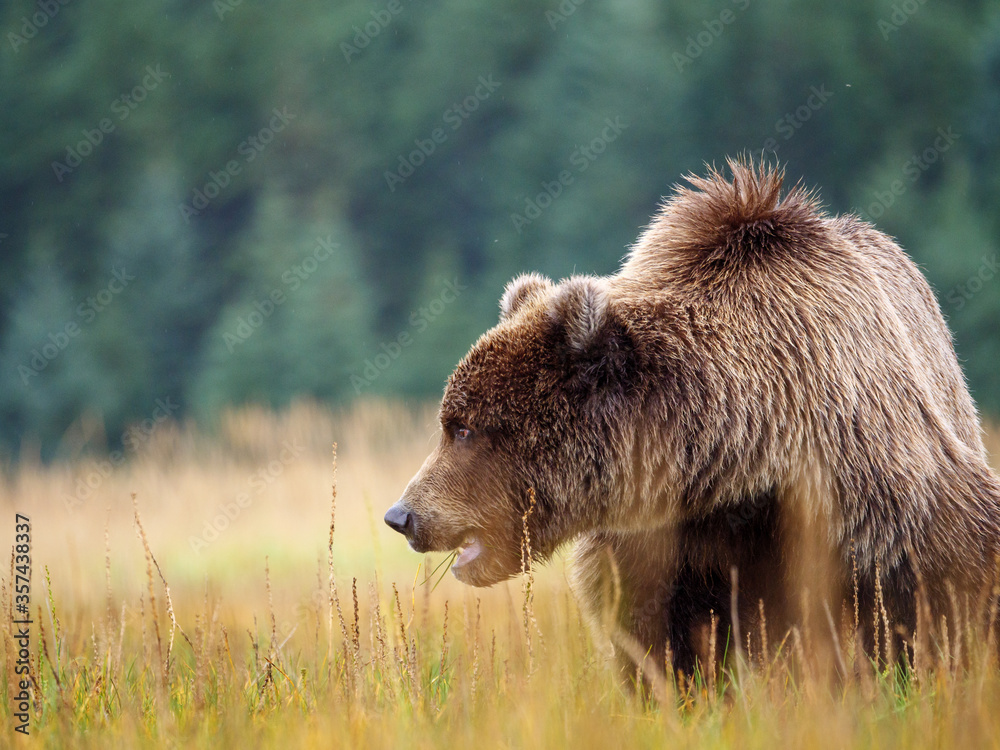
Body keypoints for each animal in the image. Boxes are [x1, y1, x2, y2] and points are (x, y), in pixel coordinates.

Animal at [382, 162, 1000, 680]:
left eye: (463, 427)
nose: (402, 515)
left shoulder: (873, 497)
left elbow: (938, 594)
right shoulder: (658, 544)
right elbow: (662, 637)